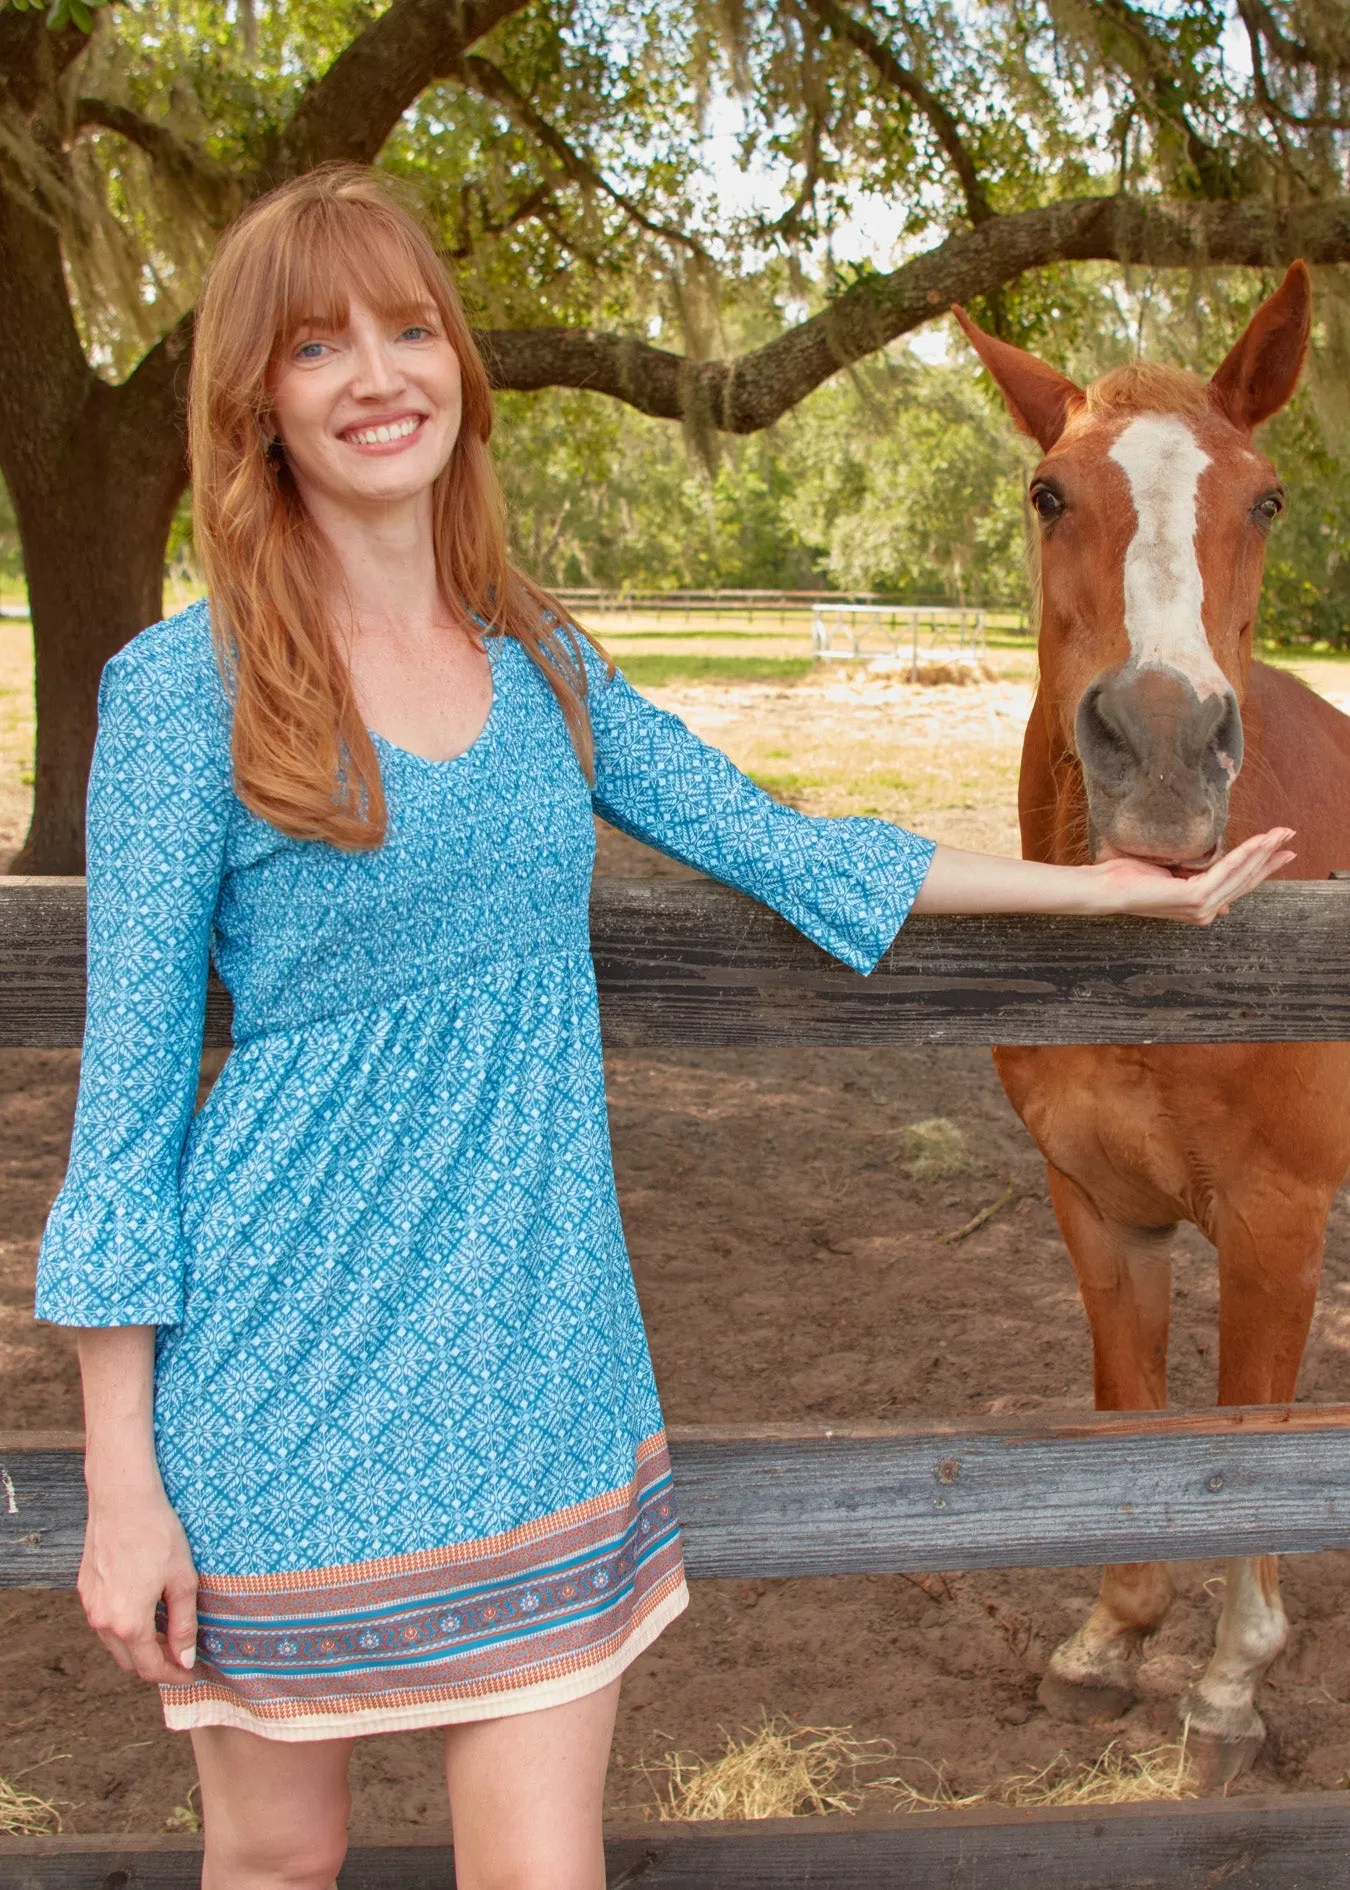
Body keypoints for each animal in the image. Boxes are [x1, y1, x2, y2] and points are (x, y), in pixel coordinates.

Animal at [945, 266, 1346, 1784]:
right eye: (1048, 493)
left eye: (1269, 499)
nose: (1166, 753)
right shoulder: (1098, 1203)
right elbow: (1129, 1413)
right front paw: (1110, 1639)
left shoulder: (1277, 1220)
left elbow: (1245, 1437)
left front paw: (1229, 1683)